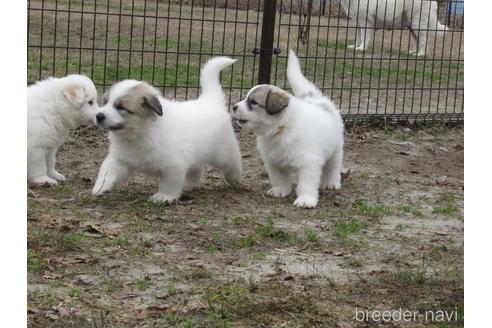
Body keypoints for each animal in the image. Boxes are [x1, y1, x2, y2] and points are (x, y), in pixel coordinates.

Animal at [92, 57, 242, 204]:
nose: (98, 116)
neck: (140, 133)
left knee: (233, 164)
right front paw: (100, 187)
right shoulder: (120, 159)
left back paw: (235, 180)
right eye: (105, 102)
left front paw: (163, 196)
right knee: (196, 169)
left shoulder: (173, 165)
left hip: (223, 154)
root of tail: (210, 100)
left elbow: (169, 183)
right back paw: (190, 185)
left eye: (121, 107)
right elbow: (107, 170)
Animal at [232, 50, 344, 209]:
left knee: (333, 166)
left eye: (253, 102)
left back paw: (331, 182)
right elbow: (279, 178)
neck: (281, 129)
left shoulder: (309, 163)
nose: (234, 107)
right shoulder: (273, 161)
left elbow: (306, 184)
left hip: (336, 149)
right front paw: (280, 191)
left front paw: (306, 199)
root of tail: (317, 99)